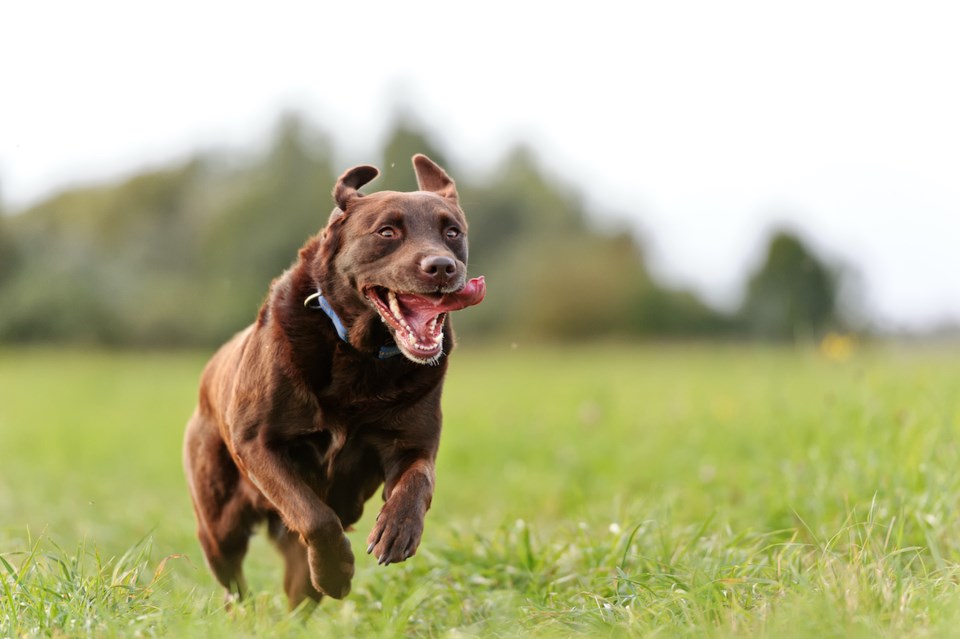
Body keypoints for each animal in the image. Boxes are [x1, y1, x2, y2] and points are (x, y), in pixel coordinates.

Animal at [185, 155, 488, 608]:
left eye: (451, 232)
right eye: (386, 232)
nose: (441, 267)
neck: (359, 355)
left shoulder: (414, 443)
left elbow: (418, 480)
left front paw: (397, 530)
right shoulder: (257, 443)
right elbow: (314, 515)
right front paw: (336, 570)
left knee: (296, 591)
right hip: (218, 522)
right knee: (234, 580)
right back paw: (247, 609)